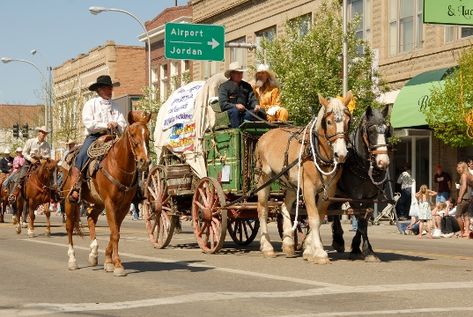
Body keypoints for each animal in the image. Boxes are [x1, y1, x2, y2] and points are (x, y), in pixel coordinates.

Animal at [61, 110, 148, 276]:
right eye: (132, 134)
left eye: (147, 134)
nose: (144, 161)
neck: (117, 165)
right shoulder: (110, 203)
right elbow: (115, 233)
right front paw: (118, 265)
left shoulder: (123, 206)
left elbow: (115, 231)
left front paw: (109, 261)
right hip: (70, 201)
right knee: (69, 227)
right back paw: (72, 260)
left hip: (98, 202)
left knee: (90, 217)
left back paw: (94, 254)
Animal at [254, 92, 350, 264]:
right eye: (329, 122)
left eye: (348, 121)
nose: (341, 154)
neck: (316, 151)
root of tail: (264, 136)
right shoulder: (308, 188)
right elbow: (314, 218)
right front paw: (319, 252)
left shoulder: (329, 191)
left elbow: (319, 217)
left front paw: (308, 249)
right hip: (264, 178)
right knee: (262, 210)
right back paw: (267, 247)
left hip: (291, 184)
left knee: (284, 207)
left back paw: (288, 244)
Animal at [330, 105, 390, 260]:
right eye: (371, 131)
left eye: (387, 131)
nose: (383, 162)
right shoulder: (355, 197)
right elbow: (360, 221)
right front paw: (367, 251)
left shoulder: (370, 198)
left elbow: (364, 220)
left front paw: (358, 248)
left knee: (334, 210)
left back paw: (338, 240)